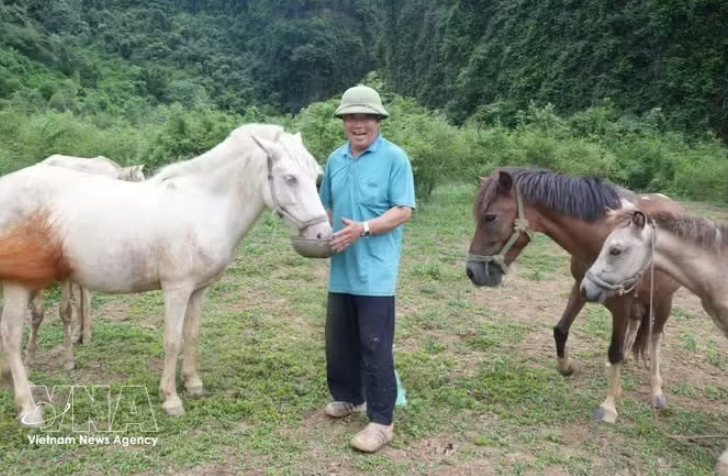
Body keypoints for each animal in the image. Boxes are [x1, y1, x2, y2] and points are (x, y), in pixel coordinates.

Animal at [465, 166, 684, 423]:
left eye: (490, 217)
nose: (472, 271)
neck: (601, 237)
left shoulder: (622, 302)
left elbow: (615, 350)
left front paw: (609, 407)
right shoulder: (581, 287)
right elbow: (561, 330)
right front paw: (566, 366)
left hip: (664, 301)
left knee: (655, 339)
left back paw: (656, 390)